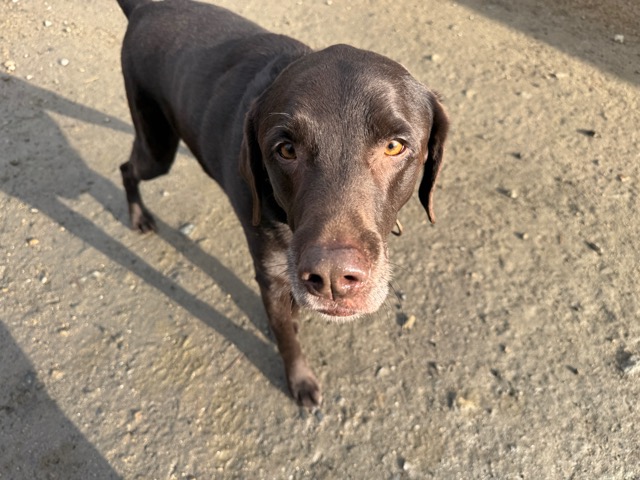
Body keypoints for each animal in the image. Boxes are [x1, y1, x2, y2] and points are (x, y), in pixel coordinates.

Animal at [116, 0, 448, 407]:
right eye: (286, 149)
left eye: (394, 146)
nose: (333, 279)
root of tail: (147, 7)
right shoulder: (272, 275)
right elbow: (287, 339)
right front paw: (300, 380)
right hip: (157, 146)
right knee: (127, 168)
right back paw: (138, 215)